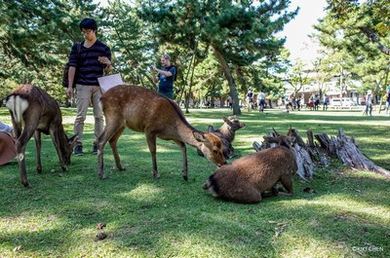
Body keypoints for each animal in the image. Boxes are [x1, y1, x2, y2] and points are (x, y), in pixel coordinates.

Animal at [96, 84, 225, 179]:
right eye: (215, 150)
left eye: (222, 147)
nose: (223, 163)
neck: (171, 125)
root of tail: (101, 98)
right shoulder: (149, 129)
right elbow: (153, 150)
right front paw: (155, 173)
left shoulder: (171, 136)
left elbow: (183, 146)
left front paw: (185, 174)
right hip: (113, 117)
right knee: (100, 140)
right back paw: (102, 174)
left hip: (122, 124)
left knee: (112, 140)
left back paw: (120, 167)